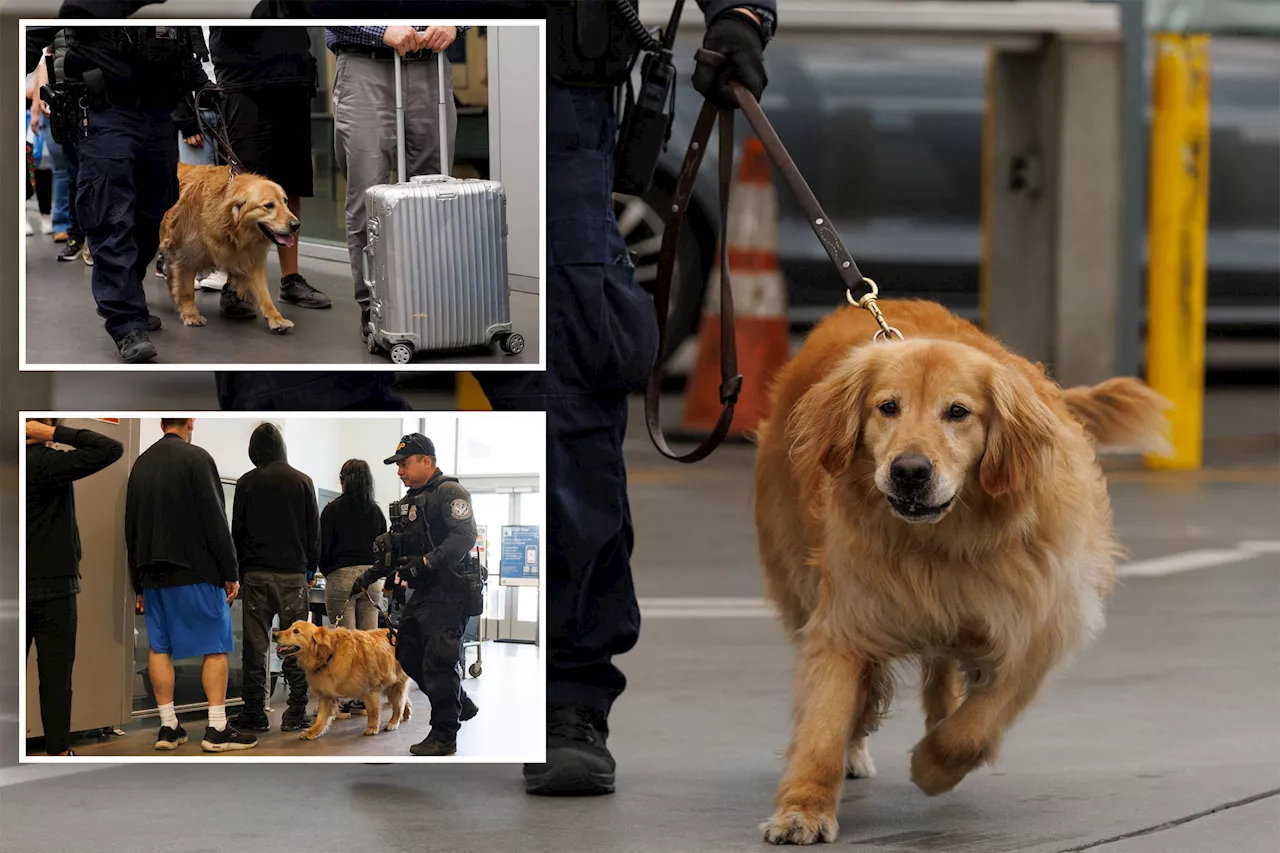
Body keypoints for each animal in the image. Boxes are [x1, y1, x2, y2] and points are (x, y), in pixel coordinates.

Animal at [158, 162, 298, 333]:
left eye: (285, 201)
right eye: (269, 205)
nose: (296, 225)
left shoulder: (249, 259)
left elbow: (264, 294)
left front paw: (276, 318)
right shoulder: (186, 257)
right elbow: (186, 290)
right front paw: (191, 314)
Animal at [275, 617, 414, 737]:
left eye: (296, 631)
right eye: (290, 627)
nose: (274, 635)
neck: (330, 653)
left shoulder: (369, 689)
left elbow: (373, 711)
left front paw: (372, 727)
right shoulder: (327, 693)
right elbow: (321, 716)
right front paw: (312, 732)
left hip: (395, 682)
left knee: (398, 705)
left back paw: (393, 722)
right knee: (403, 700)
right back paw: (406, 713)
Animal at [757, 298, 1172, 845]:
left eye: (957, 412)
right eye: (887, 407)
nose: (909, 471)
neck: (944, 542)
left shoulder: (1038, 622)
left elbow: (976, 725)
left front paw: (933, 766)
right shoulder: (847, 619)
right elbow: (824, 722)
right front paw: (803, 808)